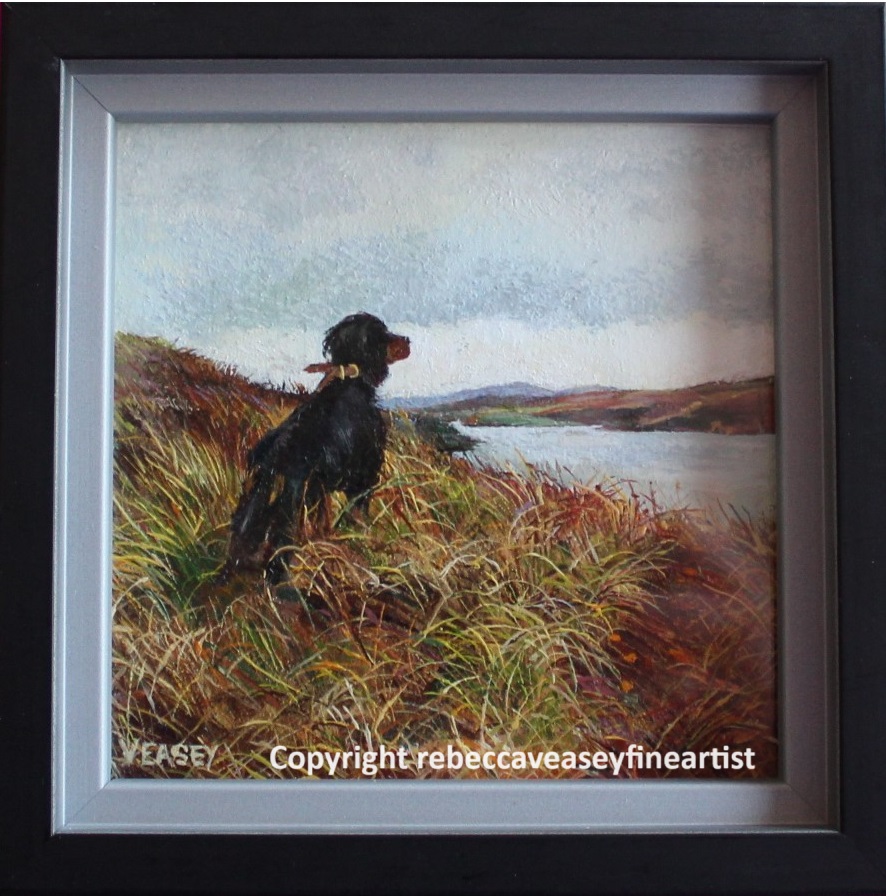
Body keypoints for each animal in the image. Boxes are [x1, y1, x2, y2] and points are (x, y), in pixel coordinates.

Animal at [221, 313, 410, 583]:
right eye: (383, 334)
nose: (408, 340)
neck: (349, 380)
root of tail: (277, 453)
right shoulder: (365, 475)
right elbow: (359, 515)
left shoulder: (322, 489)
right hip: (293, 501)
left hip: (258, 494)